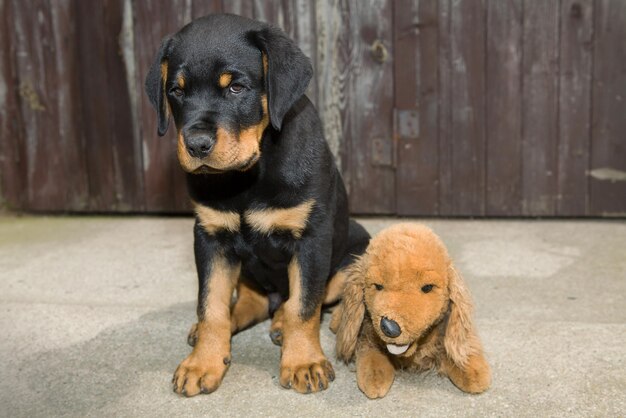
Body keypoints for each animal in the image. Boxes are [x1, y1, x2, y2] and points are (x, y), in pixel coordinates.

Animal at [145, 13, 370, 396]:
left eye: (236, 88)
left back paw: (281, 324)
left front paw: (304, 361)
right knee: (251, 301)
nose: (196, 145)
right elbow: (210, 304)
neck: (246, 177)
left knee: (303, 298)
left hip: (355, 253)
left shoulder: (311, 239)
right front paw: (203, 362)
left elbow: (305, 304)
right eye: (176, 91)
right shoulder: (210, 237)